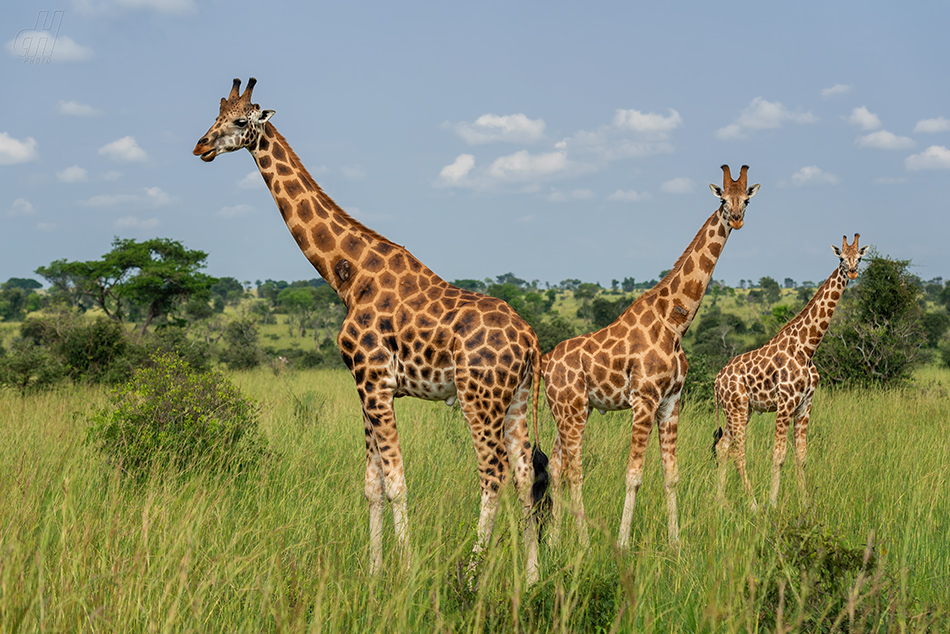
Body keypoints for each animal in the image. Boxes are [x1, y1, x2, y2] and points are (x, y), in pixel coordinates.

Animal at [192, 78, 552, 584]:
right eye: (215, 117)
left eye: (240, 121)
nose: (201, 146)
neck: (347, 274)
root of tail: (532, 341)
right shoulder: (364, 386)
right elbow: (372, 485)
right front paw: (375, 572)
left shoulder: (374, 379)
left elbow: (397, 482)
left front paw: (407, 572)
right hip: (516, 399)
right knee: (523, 475)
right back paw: (533, 578)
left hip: (478, 398)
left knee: (493, 472)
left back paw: (470, 571)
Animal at [544, 165, 760, 544]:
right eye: (722, 198)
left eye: (746, 200)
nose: (735, 219)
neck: (675, 323)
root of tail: (544, 365)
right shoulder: (643, 399)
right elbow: (633, 476)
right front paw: (622, 542)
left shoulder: (671, 402)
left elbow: (671, 475)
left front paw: (676, 542)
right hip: (573, 411)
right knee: (574, 470)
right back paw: (583, 541)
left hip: (567, 410)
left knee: (557, 466)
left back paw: (556, 540)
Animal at [712, 232, 872, 508]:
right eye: (841, 257)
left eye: (859, 258)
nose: (851, 272)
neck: (807, 348)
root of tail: (717, 380)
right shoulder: (785, 404)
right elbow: (778, 456)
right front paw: (773, 503)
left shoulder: (805, 405)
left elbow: (801, 456)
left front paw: (805, 503)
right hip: (737, 409)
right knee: (737, 452)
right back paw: (753, 504)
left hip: (742, 411)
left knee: (723, 448)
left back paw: (721, 502)